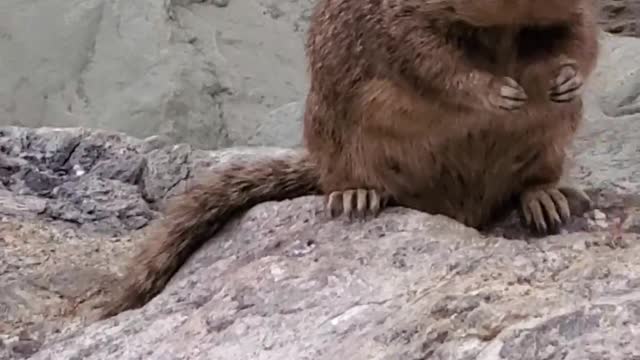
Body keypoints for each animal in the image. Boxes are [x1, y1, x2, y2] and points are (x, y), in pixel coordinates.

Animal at [97, 0, 596, 318]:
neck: (507, 21)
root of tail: (460, 210)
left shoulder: (573, 12)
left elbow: (583, 42)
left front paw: (567, 76)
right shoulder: (404, 19)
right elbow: (432, 63)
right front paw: (492, 90)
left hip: (552, 137)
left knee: (534, 177)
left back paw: (543, 197)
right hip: (334, 133)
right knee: (349, 178)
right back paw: (356, 194)